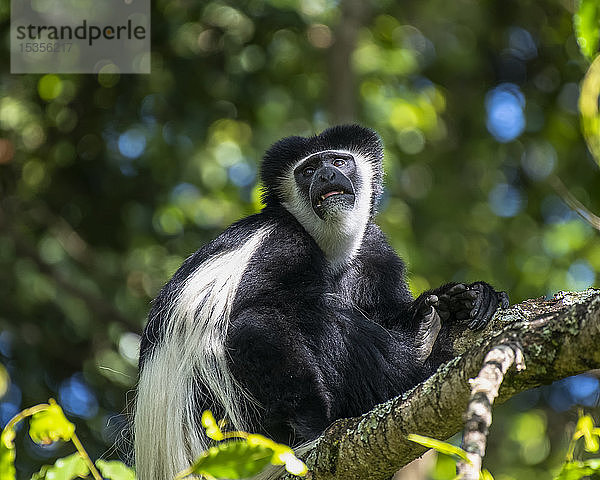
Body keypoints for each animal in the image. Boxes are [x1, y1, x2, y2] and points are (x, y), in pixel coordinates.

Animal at [134, 124, 508, 480]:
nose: (326, 175)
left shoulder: (374, 250)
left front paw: (467, 297)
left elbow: (387, 310)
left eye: (339, 161)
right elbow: (253, 321)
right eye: (309, 169)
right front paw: (313, 424)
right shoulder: (283, 244)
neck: (329, 246)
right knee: (309, 317)